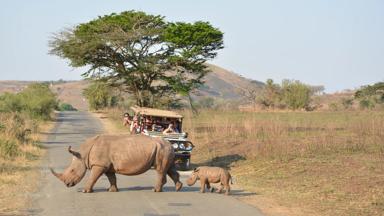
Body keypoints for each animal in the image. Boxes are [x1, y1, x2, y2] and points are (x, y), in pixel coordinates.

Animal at [50, 135, 182, 192]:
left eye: (72, 171)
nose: (67, 184)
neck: (83, 154)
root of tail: (171, 144)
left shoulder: (99, 165)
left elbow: (93, 178)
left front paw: (85, 191)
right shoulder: (107, 165)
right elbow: (111, 178)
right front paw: (112, 190)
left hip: (162, 149)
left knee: (160, 169)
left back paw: (155, 190)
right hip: (165, 149)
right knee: (169, 168)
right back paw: (178, 188)